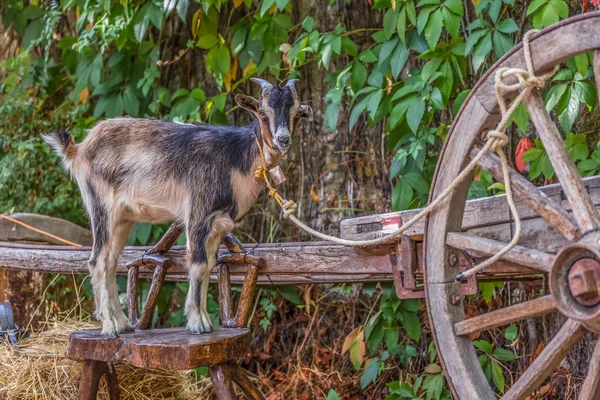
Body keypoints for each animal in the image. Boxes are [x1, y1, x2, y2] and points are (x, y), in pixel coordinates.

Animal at [44, 78, 312, 334]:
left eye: (297, 112)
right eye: (262, 111)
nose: (283, 140)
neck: (235, 157)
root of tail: (78, 150)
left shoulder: (217, 224)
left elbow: (209, 265)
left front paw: (206, 321)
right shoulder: (198, 212)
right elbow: (198, 263)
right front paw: (197, 324)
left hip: (122, 218)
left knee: (110, 261)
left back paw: (123, 324)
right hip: (101, 207)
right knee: (97, 261)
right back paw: (110, 327)